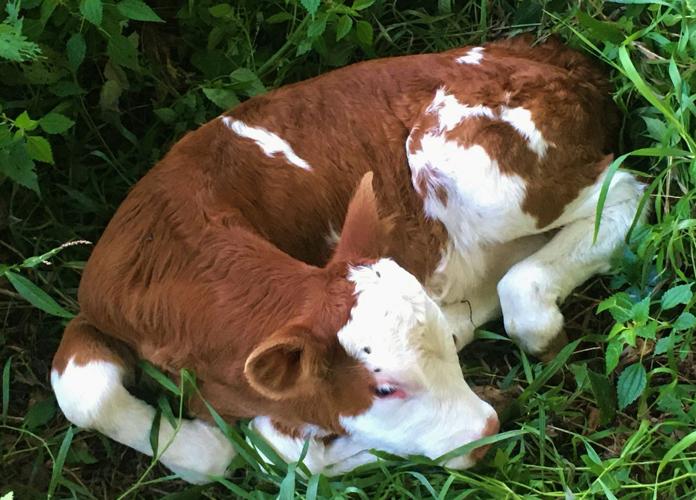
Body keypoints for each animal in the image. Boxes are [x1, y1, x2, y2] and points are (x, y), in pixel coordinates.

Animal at [50, 35, 644, 483]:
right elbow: (83, 394)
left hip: (476, 168)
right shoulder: (96, 304)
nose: (486, 431)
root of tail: (550, 54)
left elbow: (278, 448)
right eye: (383, 387)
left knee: (623, 192)